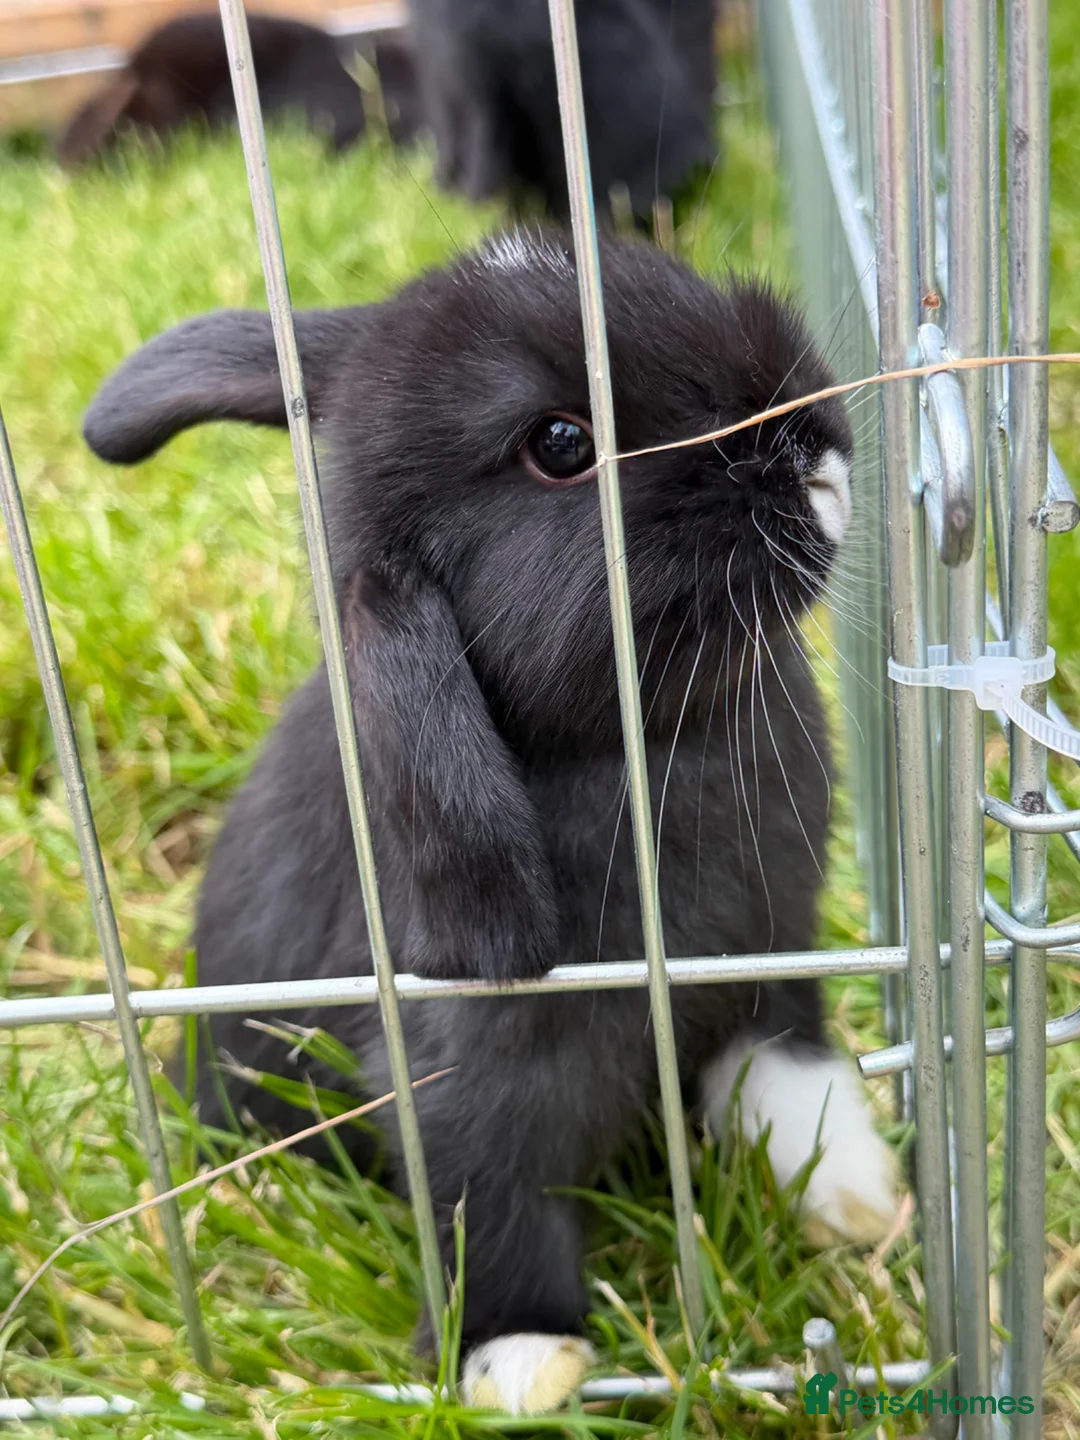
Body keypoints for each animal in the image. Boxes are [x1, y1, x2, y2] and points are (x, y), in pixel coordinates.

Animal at [83, 229, 899, 1415]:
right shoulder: (459, 1074)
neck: (645, 746)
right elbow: (487, 1200)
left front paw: (861, 1199)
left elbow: (790, 1069)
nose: (809, 442)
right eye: (561, 445)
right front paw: (519, 1364)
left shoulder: (767, 952)